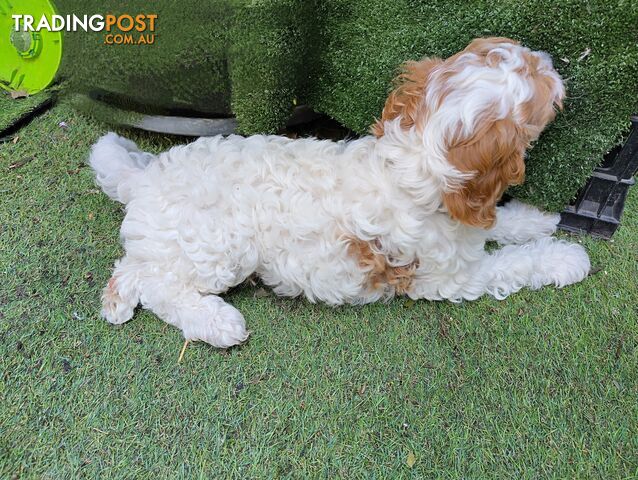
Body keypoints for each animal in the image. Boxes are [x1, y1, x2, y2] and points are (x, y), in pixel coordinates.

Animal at [89, 36, 592, 344]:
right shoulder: (451, 277)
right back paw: (216, 322)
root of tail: (145, 176)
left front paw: (536, 218)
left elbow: (499, 224)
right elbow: (514, 263)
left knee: (133, 268)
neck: (415, 163)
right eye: (542, 89)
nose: (550, 60)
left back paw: (118, 301)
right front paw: (565, 257)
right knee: (161, 287)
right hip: (220, 249)